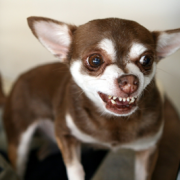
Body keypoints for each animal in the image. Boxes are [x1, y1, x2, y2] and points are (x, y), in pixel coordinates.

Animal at [2, 16, 180, 179]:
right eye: (95, 60)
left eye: (147, 59)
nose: (130, 81)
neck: (114, 121)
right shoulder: (64, 133)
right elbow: (75, 168)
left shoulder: (148, 149)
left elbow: (143, 175)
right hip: (19, 140)